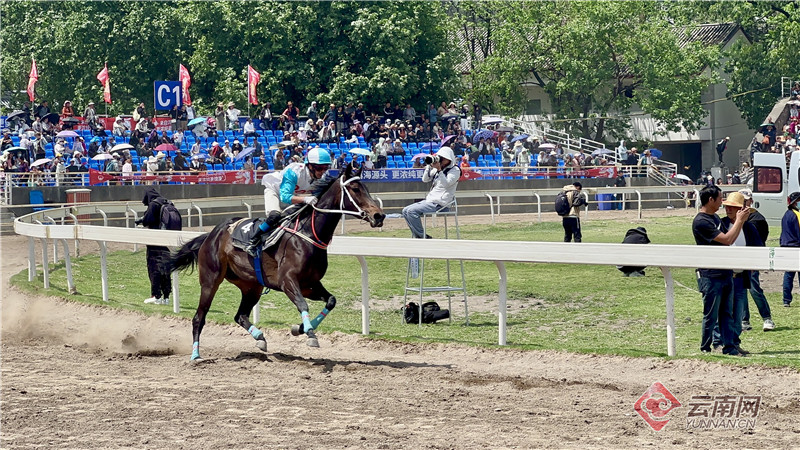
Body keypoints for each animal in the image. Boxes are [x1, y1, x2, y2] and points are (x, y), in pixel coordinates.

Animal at [171, 165, 384, 362]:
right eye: (355, 189)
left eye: (365, 187)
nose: (379, 216)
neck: (308, 234)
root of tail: (211, 235)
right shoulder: (288, 281)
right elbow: (302, 304)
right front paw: (310, 334)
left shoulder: (310, 284)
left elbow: (331, 301)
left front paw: (300, 328)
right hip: (211, 280)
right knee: (199, 317)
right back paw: (196, 354)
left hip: (251, 286)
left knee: (240, 315)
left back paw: (259, 337)